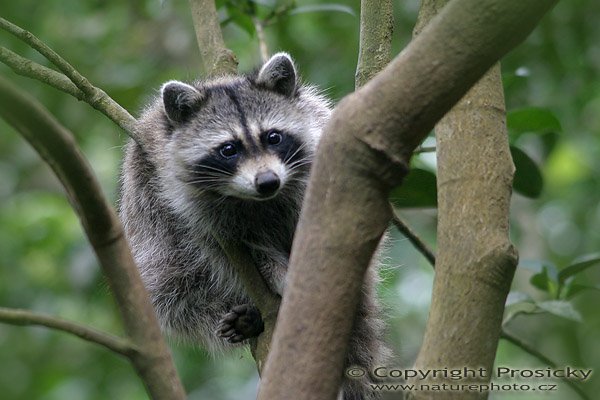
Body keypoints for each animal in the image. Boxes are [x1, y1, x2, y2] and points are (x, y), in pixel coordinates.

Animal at [119, 54, 386, 400]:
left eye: (273, 137)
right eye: (228, 149)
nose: (268, 181)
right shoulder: (182, 207)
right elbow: (224, 254)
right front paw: (276, 272)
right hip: (152, 238)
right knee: (173, 288)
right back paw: (248, 317)